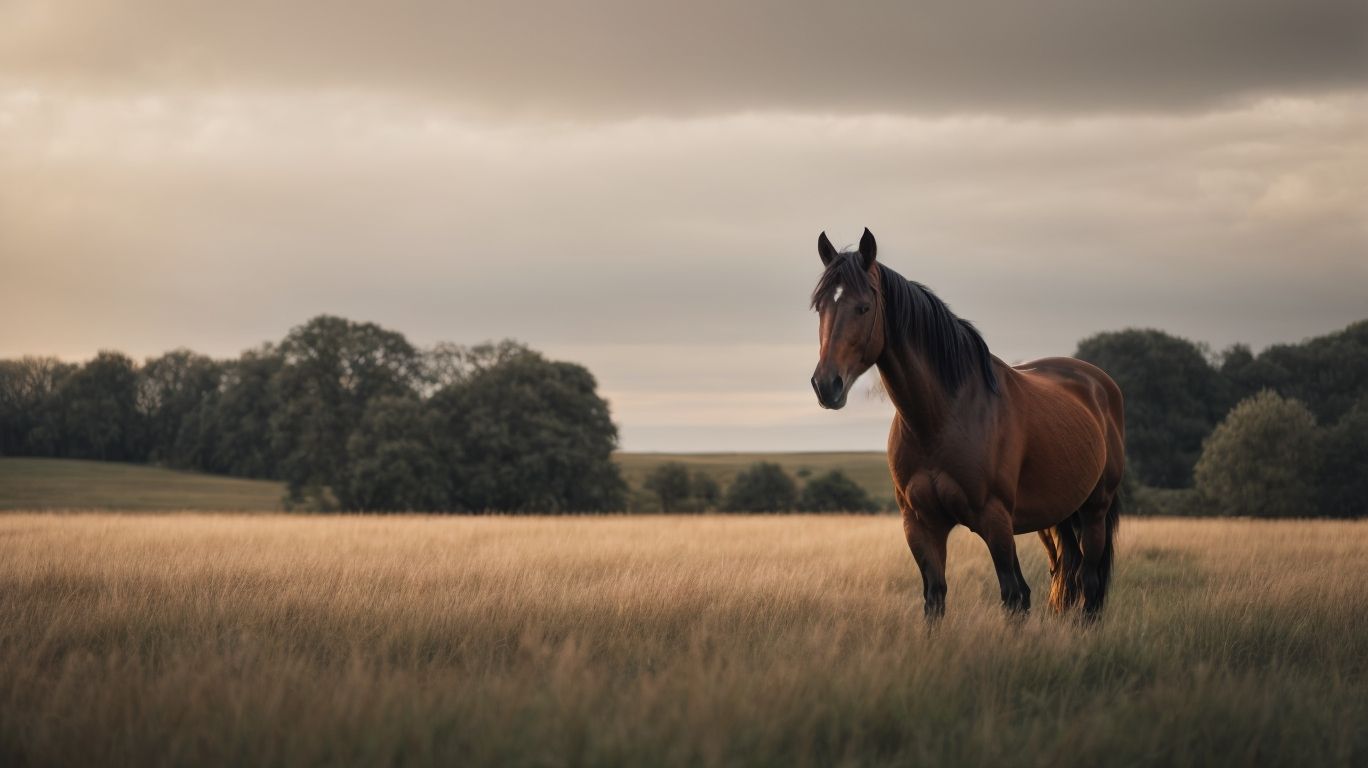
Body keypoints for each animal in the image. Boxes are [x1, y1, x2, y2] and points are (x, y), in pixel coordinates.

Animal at [809, 228, 1125, 619]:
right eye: (820, 307)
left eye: (863, 307)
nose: (826, 385)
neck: (939, 420)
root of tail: (1098, 383)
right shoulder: (921, 524)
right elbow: (935, 597)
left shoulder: (995, 521)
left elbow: (1014, 595)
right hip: (1058, 515)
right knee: (1067, 575)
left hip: (1095, 511)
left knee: (1090, 586)